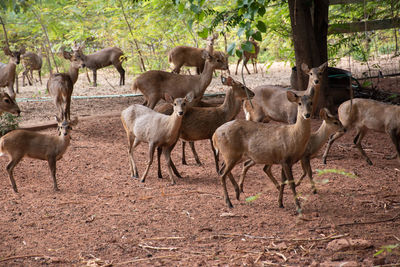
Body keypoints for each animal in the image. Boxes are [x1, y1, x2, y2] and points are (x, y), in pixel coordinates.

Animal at [214, 88, 314, 216]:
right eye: (299, 103)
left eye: (311, 102)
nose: (307, 114)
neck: (293, 137)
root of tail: (215, 134)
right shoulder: (285, 159)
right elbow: (291, 183)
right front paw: (298, 207)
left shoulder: (284, 161)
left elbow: (283, 182)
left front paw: (280, 203)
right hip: (231, 154)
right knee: (222, 175)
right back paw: (229, 203)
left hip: (234, 156)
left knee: (222, 169)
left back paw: (237, 193)